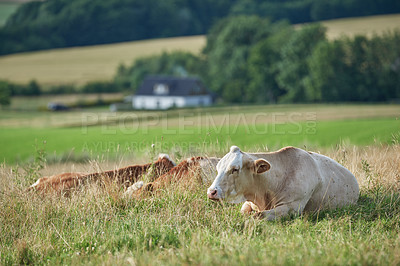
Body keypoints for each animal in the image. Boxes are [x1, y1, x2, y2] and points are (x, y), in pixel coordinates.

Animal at [208, 145, 358, 220]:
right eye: (217, 168)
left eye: (235, 169)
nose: (211, 192)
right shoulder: (248, 203)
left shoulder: (292, 208)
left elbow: (258, 215)